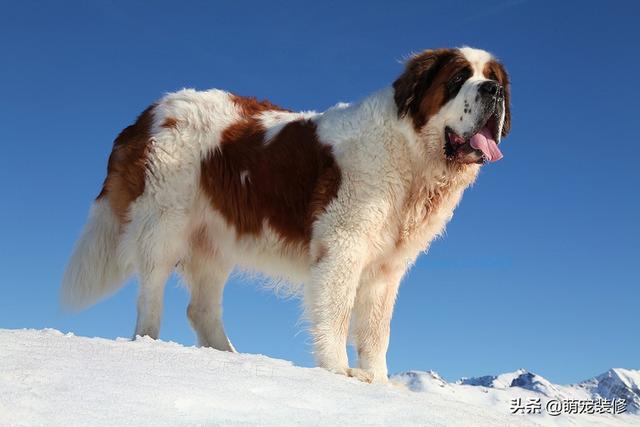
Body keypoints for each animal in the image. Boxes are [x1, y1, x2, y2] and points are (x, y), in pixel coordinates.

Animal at [60, 46, 510, 384]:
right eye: (458, 78)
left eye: (494, 79)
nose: (493, 91)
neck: (411, 154)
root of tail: (148, 113)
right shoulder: (343, 248)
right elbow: (338, 313)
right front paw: (339, 373)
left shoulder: (387, 268)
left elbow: (376, 330)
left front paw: (379, 382)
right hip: (165, 222)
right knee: (151, 290)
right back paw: (151, 344)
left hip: (215, 239)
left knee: (201, 307)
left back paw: (229, 357)